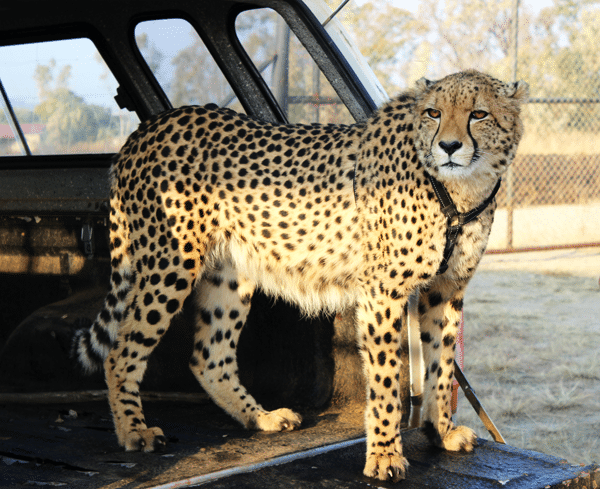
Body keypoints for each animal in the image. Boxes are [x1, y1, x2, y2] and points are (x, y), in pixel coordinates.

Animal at [72, 70, 528, 482]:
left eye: (479, 114)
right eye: (434, 112)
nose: (449, 146)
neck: (461, 186)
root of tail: (147, 129)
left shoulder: (445, 289)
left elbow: (442, 363)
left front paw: (441, 431)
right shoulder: (382, 292)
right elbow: (384, 381)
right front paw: (384, 455)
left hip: (230, 273)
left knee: (209, 355)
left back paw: (261, 417)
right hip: (170, 263)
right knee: (121, 349)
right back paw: (134, 430)